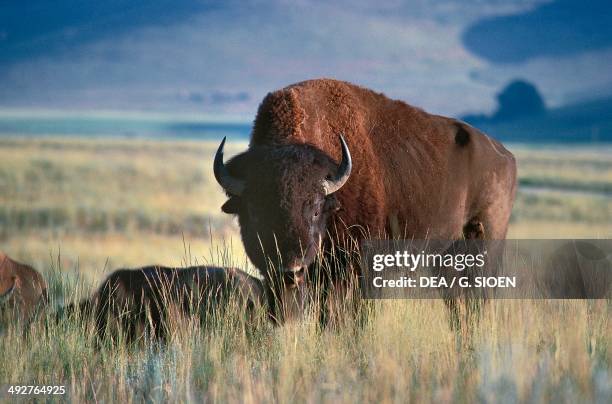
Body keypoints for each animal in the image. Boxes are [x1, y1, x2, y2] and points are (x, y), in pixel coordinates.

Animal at [213, 78, 520, 322]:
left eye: (315, 210)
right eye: (255, 212)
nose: (291, 269)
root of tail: (504, 154)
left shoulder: (360, 265)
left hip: (484, 240)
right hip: (447, 255)